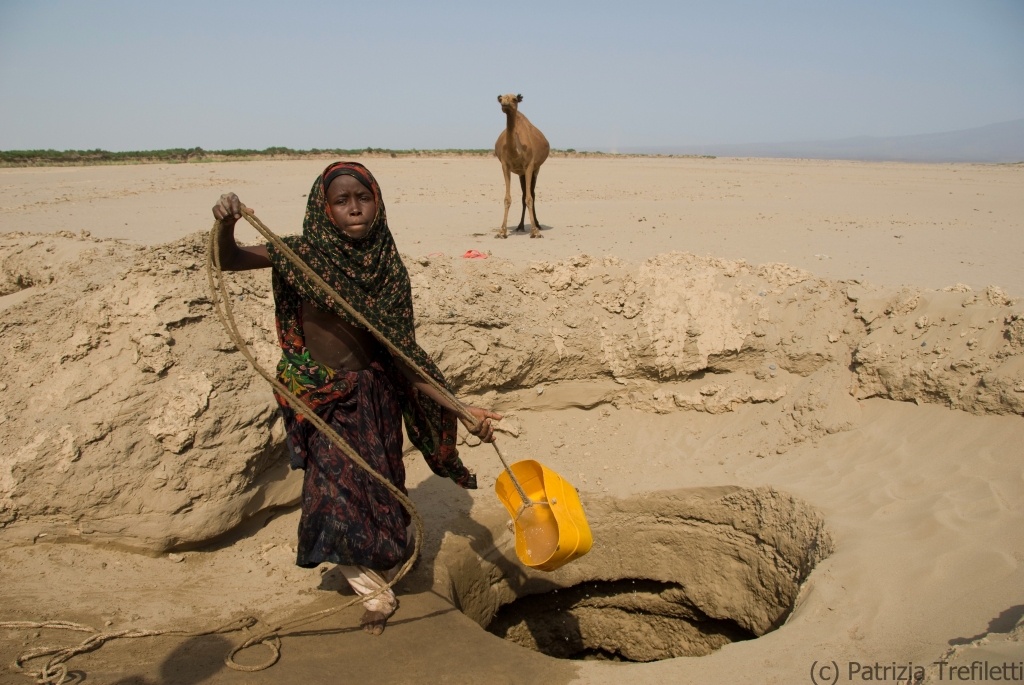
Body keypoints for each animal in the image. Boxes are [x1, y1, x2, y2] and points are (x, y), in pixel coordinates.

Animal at [491, 93, 548, 237]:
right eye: (501, 99)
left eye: (514, 99)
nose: (504, 104)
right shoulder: (505, 166)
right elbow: (507, 199)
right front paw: (502, 232)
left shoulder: (529, 166)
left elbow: (529, 198)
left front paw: (535, 232)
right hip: (521, 173)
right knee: (523, 195)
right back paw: (520, 226)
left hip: (536, 169)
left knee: (531, 194)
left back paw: (537, 225)